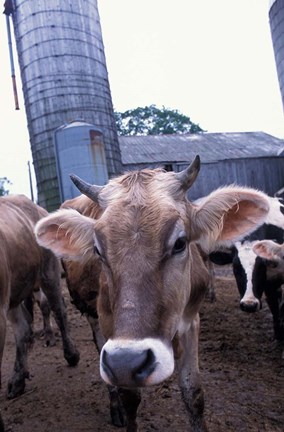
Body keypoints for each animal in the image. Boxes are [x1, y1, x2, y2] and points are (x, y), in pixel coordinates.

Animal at [34, 156, 270, 432]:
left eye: (180, 243)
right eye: (97, 250)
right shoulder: (109, 330)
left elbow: (193, 393)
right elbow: (129, 396)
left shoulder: (192, 320)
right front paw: (123, 406)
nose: (127, 362)